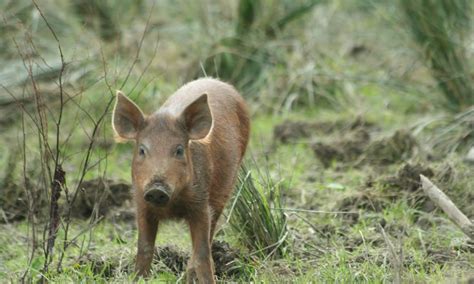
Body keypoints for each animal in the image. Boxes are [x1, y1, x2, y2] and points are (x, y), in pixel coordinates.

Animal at [111, 77, 250, 284]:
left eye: (178, 150)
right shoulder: (142, 205)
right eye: (142, 150)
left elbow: (202, 254)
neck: (173, 207)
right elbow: (144, 250)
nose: (157, 189)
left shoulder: (201, 205)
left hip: (224, 192)